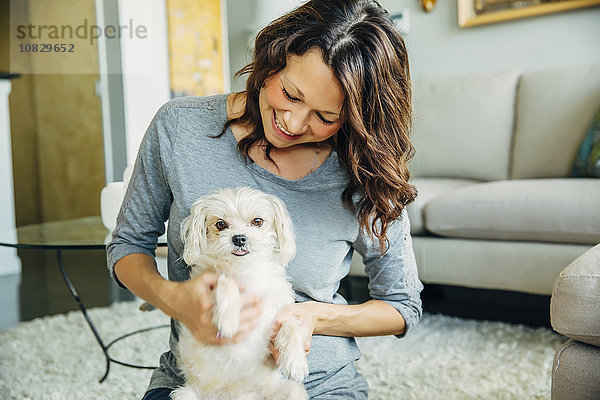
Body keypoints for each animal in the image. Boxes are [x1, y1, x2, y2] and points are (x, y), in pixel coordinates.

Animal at [170, 188, 308, 400]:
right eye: (221, 224)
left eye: (257, 221)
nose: (239, 238)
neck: (245, 270)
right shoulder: (207, 280)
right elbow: (226, 279)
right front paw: (228, 321)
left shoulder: (277, 313)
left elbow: (291, 324)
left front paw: (296, 361)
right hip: (185, 394)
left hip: (292, 392)